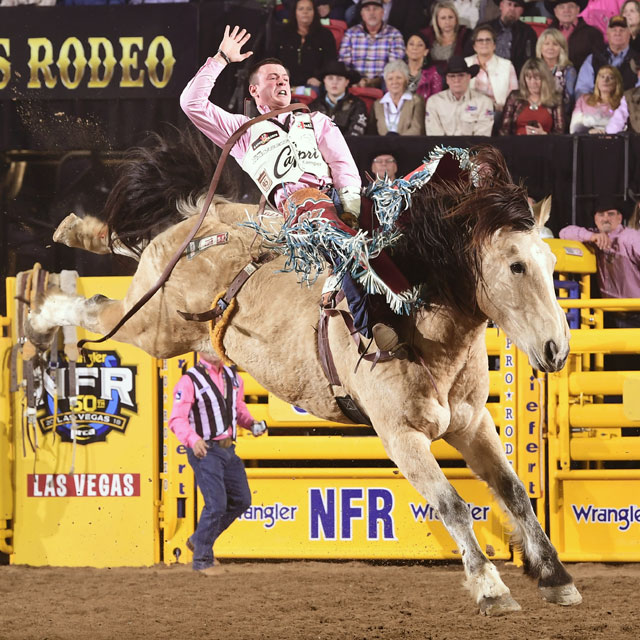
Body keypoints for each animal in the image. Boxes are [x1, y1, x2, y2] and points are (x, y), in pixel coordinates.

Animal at [28, 134, 580, 616]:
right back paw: (40, 313)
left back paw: (72, 235)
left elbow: (513, 492)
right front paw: (490, 588)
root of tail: (201, 232)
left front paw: (556, 577)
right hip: (151, 328)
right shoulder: (401, 436)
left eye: (552, 262)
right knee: (100, 308)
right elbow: (453, 505)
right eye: (516, 266)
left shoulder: (473, 424)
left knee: (130, 255)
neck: (417, 319)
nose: (556, 350)